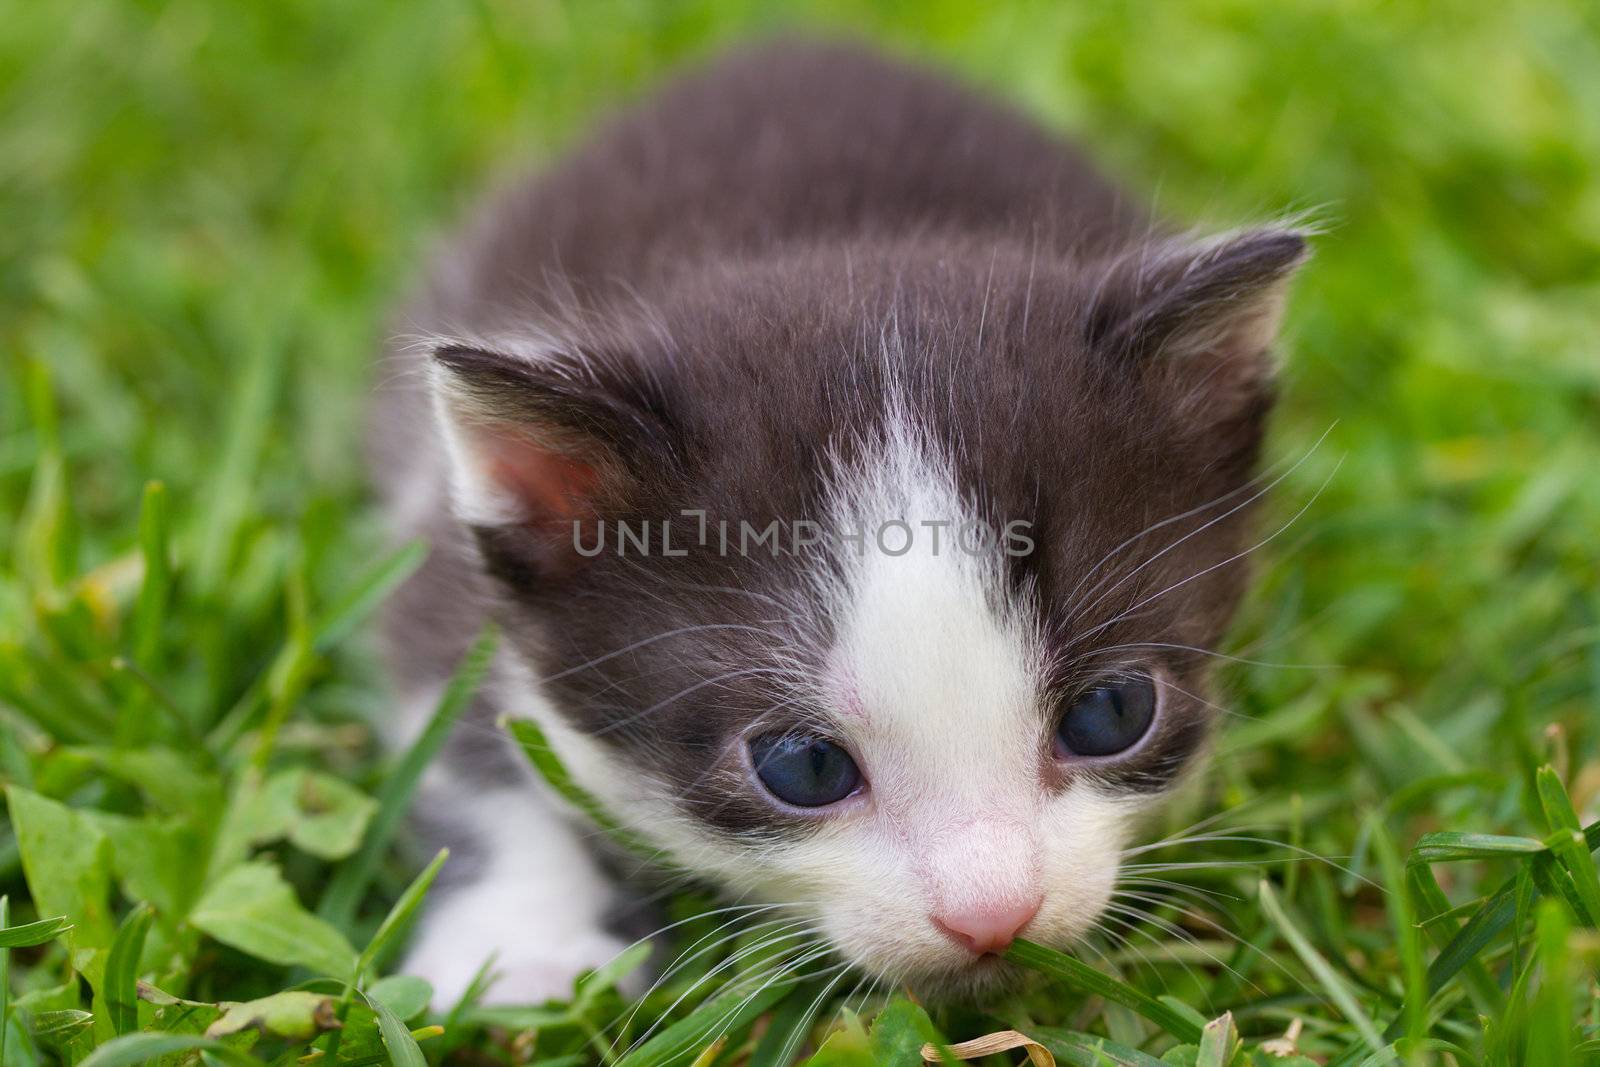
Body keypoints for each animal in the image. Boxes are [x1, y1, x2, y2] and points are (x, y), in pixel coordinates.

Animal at [368, 43, 1305, 1011]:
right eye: (804, 766)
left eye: (1110, 712)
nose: (993, 914)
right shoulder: (446, 554)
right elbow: (462, 729)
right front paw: (518, 949)